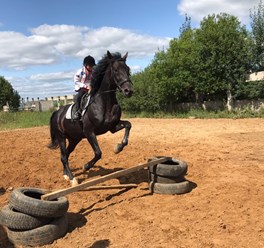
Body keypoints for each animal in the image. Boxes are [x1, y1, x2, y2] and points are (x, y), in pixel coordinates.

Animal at [47, 51, 133, 185]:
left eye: (127, 69)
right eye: (115, 70)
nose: (128, 91)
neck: (104, 102)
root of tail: (57, 112)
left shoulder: (112, 127)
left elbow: (128, 125)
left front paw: (118, 148)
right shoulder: (89, 132)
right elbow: (98, 153)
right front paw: (86, 166)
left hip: (74, 139)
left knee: (65, 154)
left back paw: (66, 175)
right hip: (61, 137)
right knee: (64, 156)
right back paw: (72, 179)